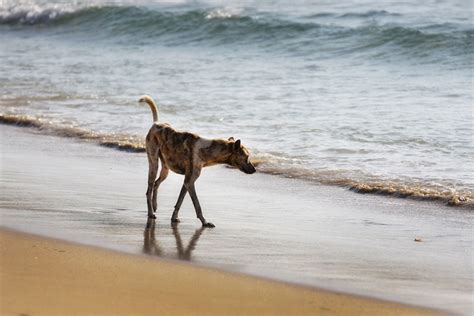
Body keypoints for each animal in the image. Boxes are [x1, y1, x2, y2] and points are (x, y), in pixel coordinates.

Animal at [138, 95, 256, 228]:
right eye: (247, 157)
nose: (255, 170)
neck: (206, 150)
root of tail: (156, 124)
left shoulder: (187, 182)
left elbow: (179, 202)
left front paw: (174, 217)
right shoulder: (190, 182)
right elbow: (197, 206)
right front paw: (204, 222)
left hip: (165, 170)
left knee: (156, 184)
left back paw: (155, 205)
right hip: (153, 164)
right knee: (149, 190)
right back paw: (151, 212)